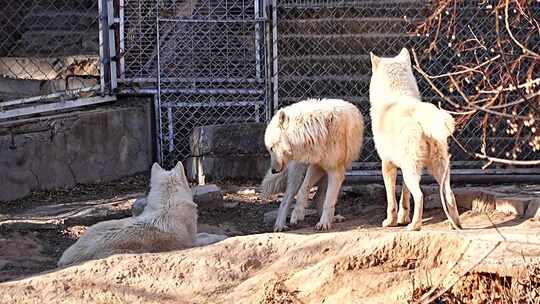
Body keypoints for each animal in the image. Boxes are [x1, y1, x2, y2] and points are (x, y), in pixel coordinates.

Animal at [58, 162, 227, 266]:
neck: (168, 203)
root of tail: (65, 259)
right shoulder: (190, 243)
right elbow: (208, 238)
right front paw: (221, 237)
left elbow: (205, 233)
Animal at [264, 100, 364, 230]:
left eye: (271, 148)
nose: (273, 170)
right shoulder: (317, 166)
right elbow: (303, 190)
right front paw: (297, 214)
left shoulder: (334, 171)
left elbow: (329, 200)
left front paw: (324, 223)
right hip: (298, 176)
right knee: (286, 200)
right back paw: (280, 225)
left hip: (326, 177)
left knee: (318, 197)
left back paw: (330, 218)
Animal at [370, 47, 462, 230]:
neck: (395, 94)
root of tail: (422, 117)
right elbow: (405, 198)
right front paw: (403, 218)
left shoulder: (387, 165)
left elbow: (391, 200)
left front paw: (391, 222)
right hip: (437, 169)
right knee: (449, 194)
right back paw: (455, 225)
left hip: (411, 170)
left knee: (419, 196)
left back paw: (414, 226)